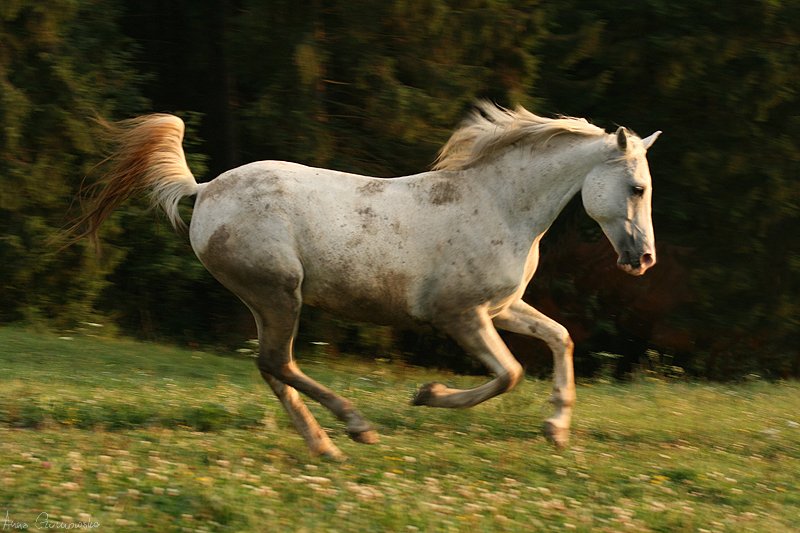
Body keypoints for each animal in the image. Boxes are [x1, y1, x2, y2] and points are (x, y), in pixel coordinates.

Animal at [73, 103, 664, 458]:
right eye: (636, 188)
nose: (643, 260)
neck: (498, 206)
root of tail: (206, 189)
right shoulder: (460, 315)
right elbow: (510, 375)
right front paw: (426, 395)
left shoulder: (500, 308)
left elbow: (560, 339)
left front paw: (556, 428)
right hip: (278, 293)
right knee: (278, 363)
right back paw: (355, 427)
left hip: (265, 300)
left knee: (270, 368)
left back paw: (324, 445)